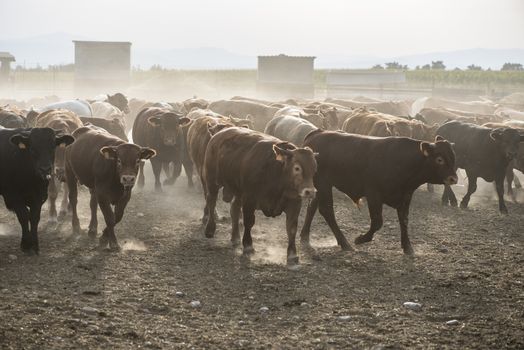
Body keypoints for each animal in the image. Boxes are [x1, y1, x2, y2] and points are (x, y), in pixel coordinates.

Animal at [202, 127, 316, 264]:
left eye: (314, 168)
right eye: (297, 168)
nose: (310, 191)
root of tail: (218, 134)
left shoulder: (294, 203)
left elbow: (291, 228)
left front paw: (292, 255)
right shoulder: (249, 200)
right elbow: (249, 222)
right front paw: (248, 246)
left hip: (238, 191)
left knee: (234, 209)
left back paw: (235, 237)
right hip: (212, 181)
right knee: (211, 201)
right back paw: (210, 229)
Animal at [300, 130, 456, 256]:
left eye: (453, 157)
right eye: (439, 159)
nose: (453, 178)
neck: (404, 161)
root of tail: (316, 134)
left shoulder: (405, 196)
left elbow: (404, 220)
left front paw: (408, 247)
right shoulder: (373, 194)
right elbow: (377, 222)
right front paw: (361, 239)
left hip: (320, 186)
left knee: (312, 208)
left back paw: (304, 237)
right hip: (324, 184)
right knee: (326, 210)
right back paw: (345, 243)